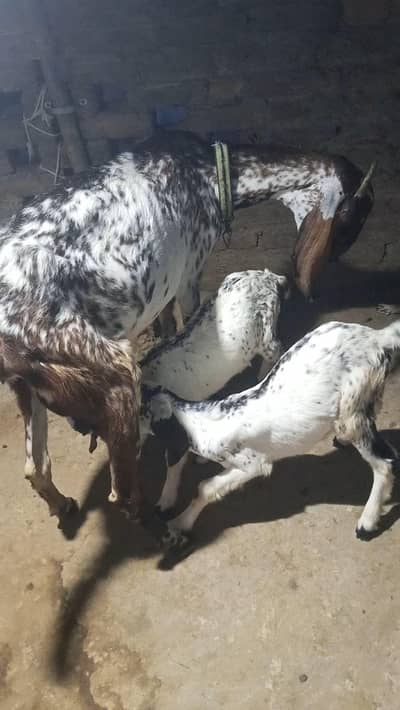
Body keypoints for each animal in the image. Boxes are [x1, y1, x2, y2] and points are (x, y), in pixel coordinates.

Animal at [140, 268, 288, 511]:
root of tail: (269, 276)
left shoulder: (177, 434)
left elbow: (173, 465)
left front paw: (164, 503)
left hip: (267, 331)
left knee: (277, 348)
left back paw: (262, 375)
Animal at [145, 320, 400, 542]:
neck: (206, 421)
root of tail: (378, 338)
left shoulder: (254, 464)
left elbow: (205, 488)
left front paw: (180, 524)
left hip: (353, 407)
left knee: (385, 462)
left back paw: (367, 523)